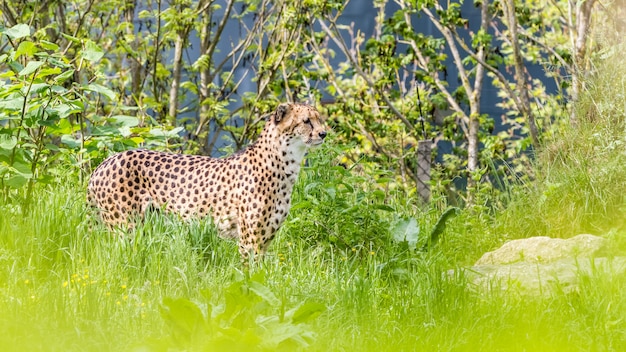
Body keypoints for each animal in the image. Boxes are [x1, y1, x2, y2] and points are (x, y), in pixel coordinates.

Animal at [89, 103, 330, 260]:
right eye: (306, 121)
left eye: (320, 119)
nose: (323, 133)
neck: (286, 163)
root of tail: (105, 162)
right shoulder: (249, 241)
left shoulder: (264, 240)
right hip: (124, 228)